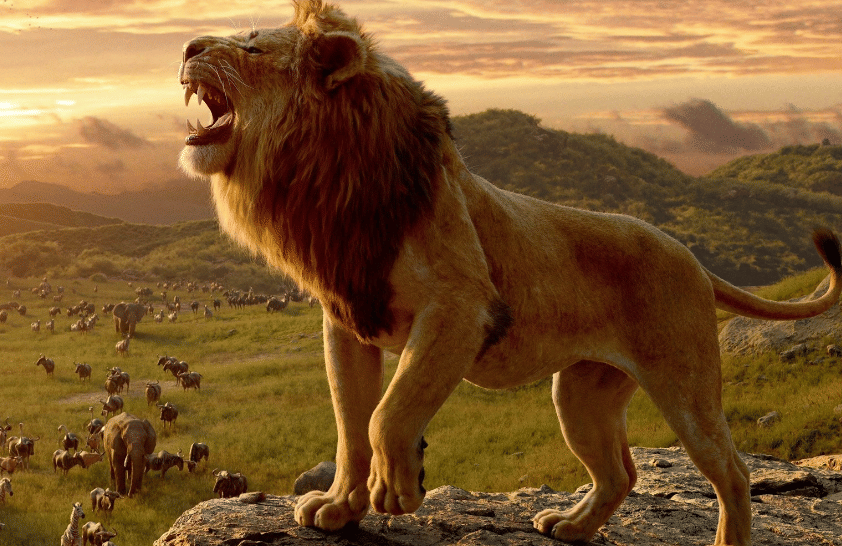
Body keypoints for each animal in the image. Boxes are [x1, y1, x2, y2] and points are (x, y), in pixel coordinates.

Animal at [177, 2, 842, 544]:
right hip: (580, 393)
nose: (186, 47)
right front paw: (340, 508)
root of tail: (694, 258)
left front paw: (400, 489)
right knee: (620, 472)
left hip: (686, 384)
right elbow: (350, 423)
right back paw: (571, 526)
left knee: (732, 470)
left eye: (252, 47)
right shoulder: (346, 319)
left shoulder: (462, 307)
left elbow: (388, 412)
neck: (327, 180)